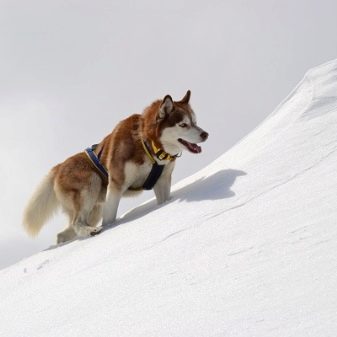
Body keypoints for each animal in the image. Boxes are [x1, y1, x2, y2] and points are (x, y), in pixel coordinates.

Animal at [23, 90, 207, 243]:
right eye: (183, 124)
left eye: (195, 122)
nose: (205, 134)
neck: (147, 145)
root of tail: (59, 166)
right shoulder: (116, 185)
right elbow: (110, 218)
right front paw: (111, 228)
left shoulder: (162, 181)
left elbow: (164, 201)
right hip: (92, 183)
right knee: (76, 222)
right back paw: (90, 231)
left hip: (94, 209)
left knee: (63, 233)